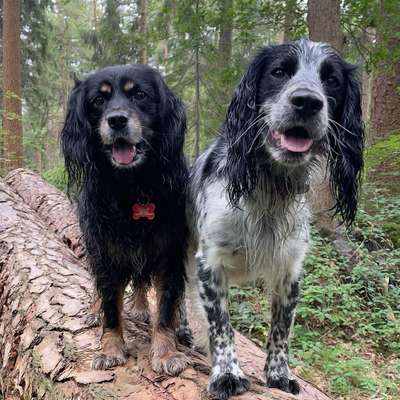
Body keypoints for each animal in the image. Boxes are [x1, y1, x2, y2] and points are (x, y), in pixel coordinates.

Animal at [186, 39, 364, 398]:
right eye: (279, 72)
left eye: (332, 80)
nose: (307, 101)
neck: (270, 188)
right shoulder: (209, 262)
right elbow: (222, 326)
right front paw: (226, 373)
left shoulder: (289, 269)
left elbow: (281, 329)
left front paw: (279, 374)